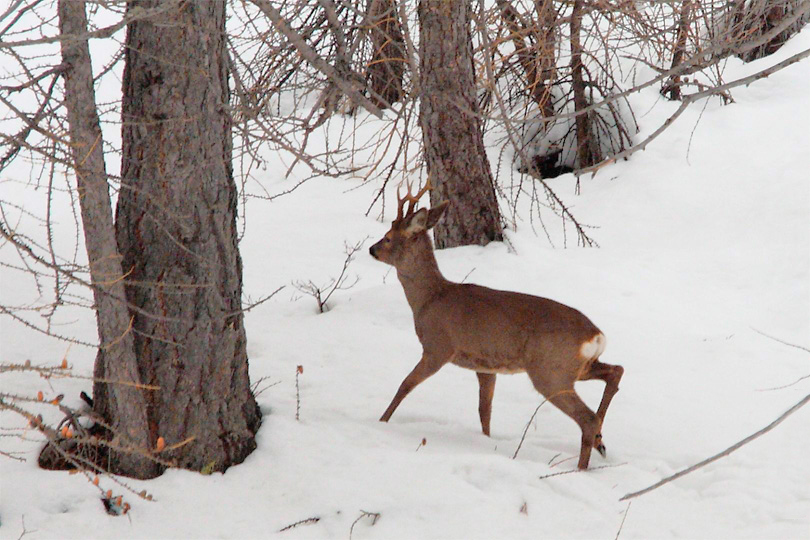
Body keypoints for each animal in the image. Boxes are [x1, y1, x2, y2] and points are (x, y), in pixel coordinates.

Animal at [370, 181, 620, 468]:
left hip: (550, 371)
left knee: (587, 417)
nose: (372, 249)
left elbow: (405, 384)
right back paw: (601, 443)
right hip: (577, 368)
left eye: (388, 237)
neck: (429, 298)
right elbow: (484, 410)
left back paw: (582, 466)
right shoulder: (485, 366)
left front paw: (382, 421)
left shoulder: (438, 347)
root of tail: (596, 335)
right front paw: (486, 442)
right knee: (616, 372)